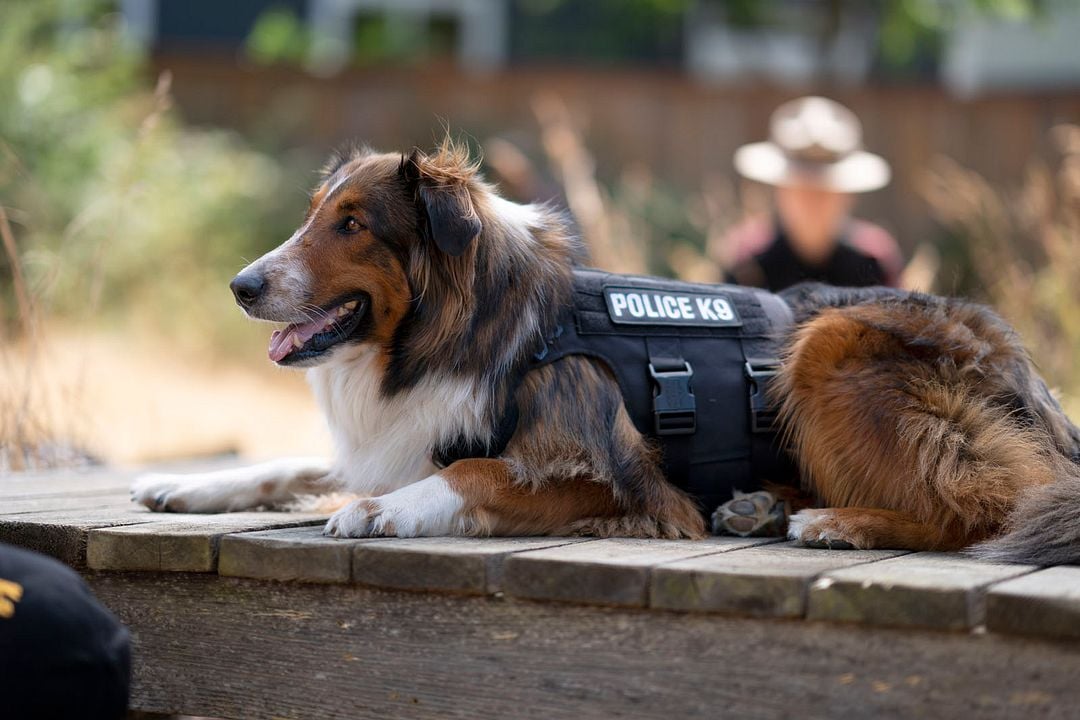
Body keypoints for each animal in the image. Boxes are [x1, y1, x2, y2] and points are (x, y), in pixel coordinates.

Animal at [130, 138, 1080, 561]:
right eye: (314, 217)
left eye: (354, 225)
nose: (241, 286)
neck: (467, 325)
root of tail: (1030, 374)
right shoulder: (399, 433)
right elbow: (292, 462)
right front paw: (186, 484)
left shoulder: (621, 478)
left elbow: (472, 471)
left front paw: (382, 508)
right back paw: (760, 509)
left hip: (829, 344)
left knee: (995, 502)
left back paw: (835, 522)